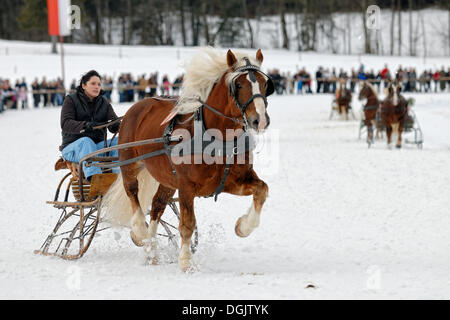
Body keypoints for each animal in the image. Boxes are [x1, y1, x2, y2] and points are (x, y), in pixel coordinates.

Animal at [102, 48, 272, 272]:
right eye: (238, 85)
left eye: (264, 83)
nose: (259, 120)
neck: (218, 137)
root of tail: (139, 105)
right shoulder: (186, 186)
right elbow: (187, 223)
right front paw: (185, 262)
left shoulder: (233, 181)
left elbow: (262, 190)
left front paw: (243, 227)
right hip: (130, 164)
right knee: (133, 194)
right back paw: (140, 233)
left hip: (167, 180)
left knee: (157, 206)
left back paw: (151, 250)